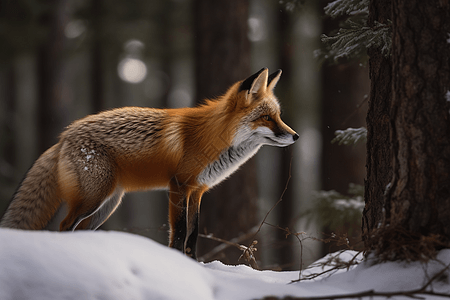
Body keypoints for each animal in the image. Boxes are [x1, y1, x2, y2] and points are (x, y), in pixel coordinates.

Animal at [0, 67, 298, 258]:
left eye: (279, 116)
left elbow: (193, 235)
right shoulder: (178, 186)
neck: (213, 138)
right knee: (64, 226)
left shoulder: (198, 190)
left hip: (106, 205)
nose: (295, 136)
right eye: (267, 118)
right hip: (92, 199)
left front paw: (194, 265)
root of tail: (64, 135)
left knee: (79, 230)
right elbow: (179, 233)